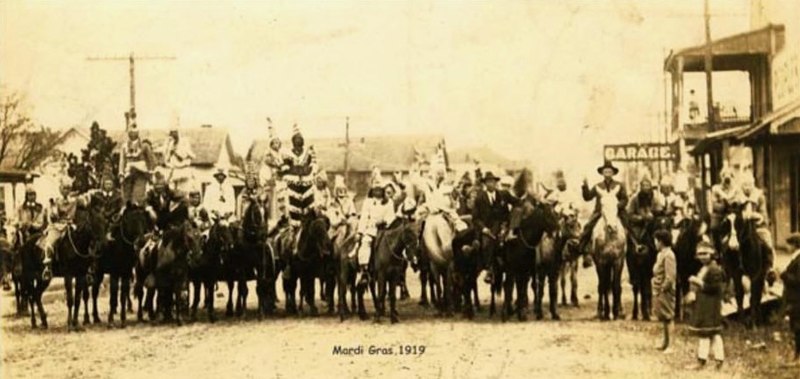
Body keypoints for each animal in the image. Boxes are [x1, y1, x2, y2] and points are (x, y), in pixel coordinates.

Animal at [592, 187, 628, 320]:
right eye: (602, 204)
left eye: (617, 204)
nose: (612, 227)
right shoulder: (602, 262)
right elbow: (603, 285)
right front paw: (606, 312)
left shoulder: (618, 261)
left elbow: (616, 285)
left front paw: (616, 311)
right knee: (602, 286)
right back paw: (600, 311)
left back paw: (620, 310)